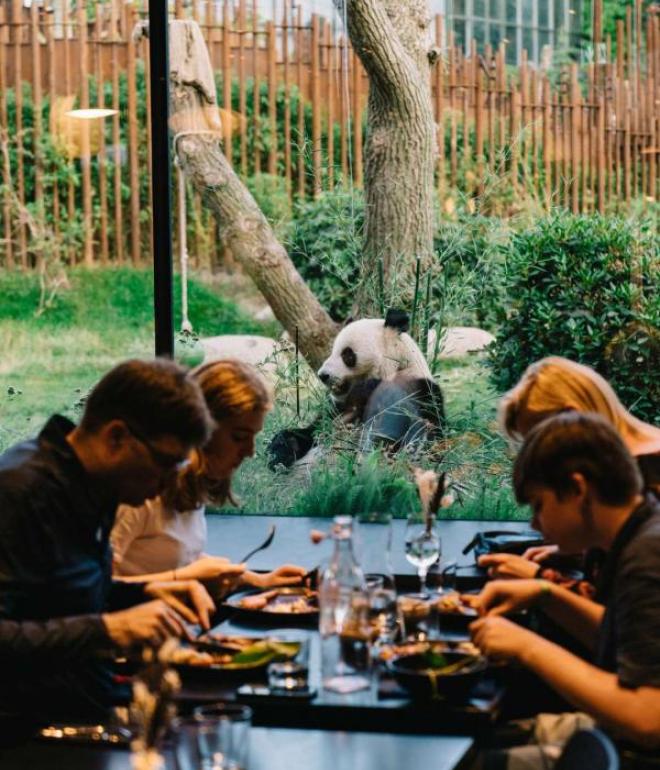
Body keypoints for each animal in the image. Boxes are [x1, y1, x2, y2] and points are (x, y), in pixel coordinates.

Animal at [266, 308, 446, 468]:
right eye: (332, 351)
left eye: (347, 354)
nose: (323, 375)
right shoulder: (336, 408)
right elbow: (312, 431)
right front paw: (279, 450)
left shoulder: (418, 393)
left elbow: (418, 440)